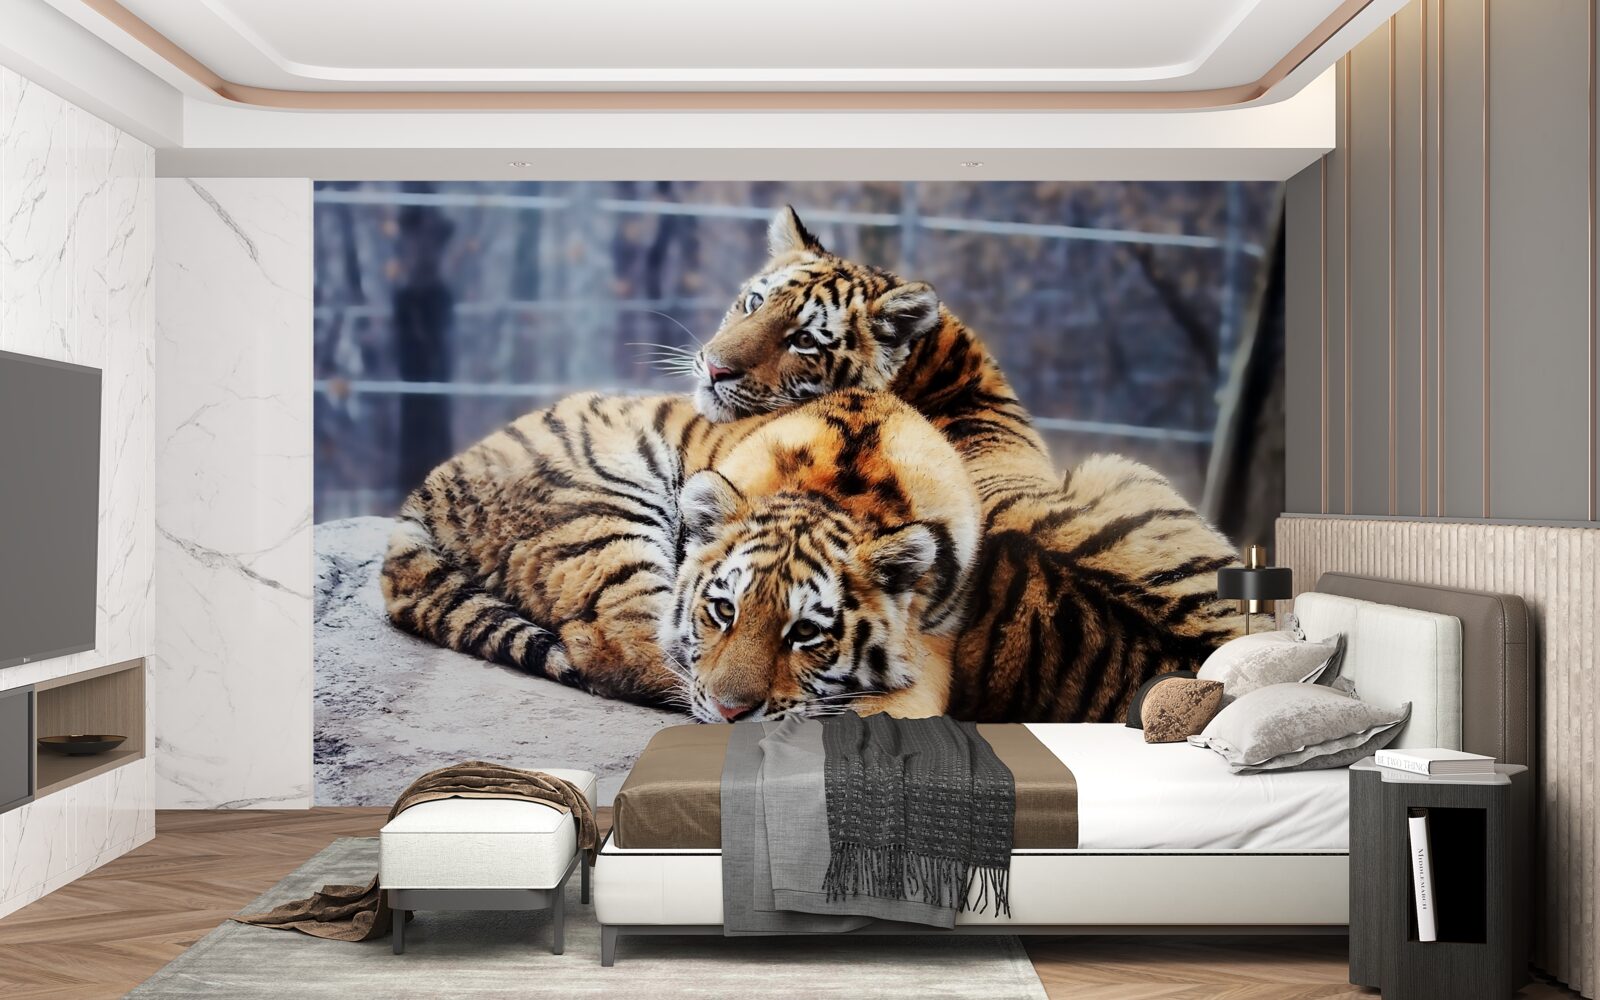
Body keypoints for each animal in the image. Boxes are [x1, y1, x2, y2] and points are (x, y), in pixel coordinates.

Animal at [381, 389, 979, 721]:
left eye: (806, 633)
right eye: (723, 610)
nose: (730, 712)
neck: (843, 493)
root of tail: (429, 486)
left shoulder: (943, 634)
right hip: (607, 513)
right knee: (617, 648)